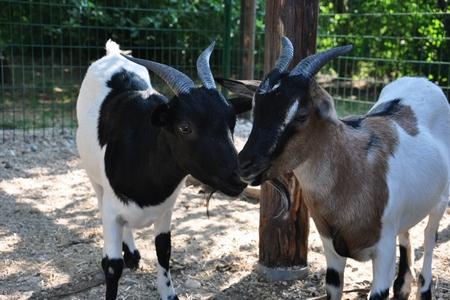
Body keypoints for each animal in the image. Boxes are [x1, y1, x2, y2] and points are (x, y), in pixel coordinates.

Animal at [75, 40, 248, 300]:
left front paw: (169, 293)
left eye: (232, 122)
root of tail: (113, 54)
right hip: (94, 178)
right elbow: (112, 266)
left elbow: (163, 251)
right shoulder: (111, 210)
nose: (238, 178)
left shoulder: (165, 211)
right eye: (184, 127)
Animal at [219, 37, 450, 300]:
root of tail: (421, 81)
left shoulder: (384, 252)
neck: (355, 170)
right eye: (256, 107)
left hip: (440, 201)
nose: (244, 164)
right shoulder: (331, 249)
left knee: (429, 239)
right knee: (407, 233)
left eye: (301, 114)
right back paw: (403, 287)